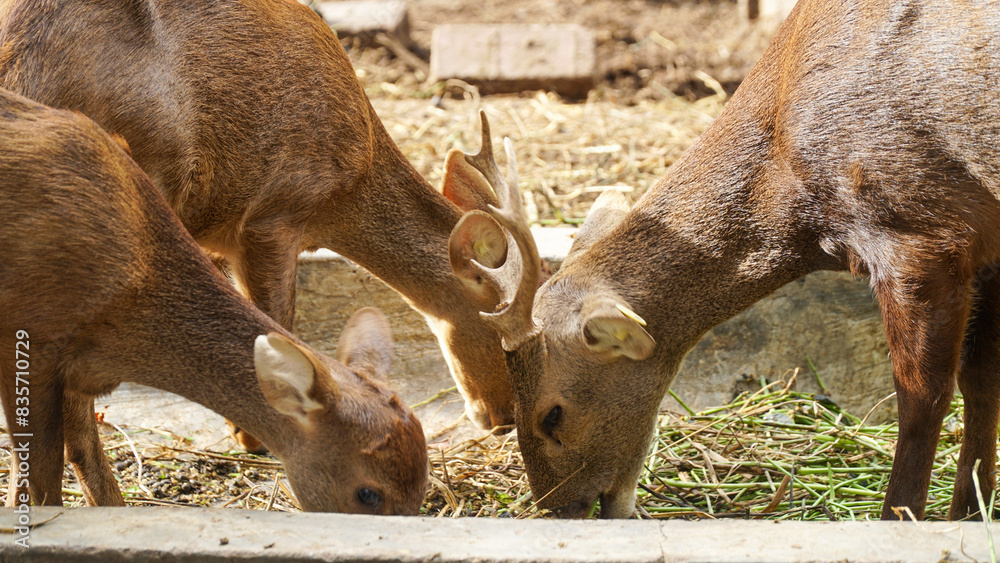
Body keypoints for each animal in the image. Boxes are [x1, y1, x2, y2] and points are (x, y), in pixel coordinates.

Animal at [0, 0, 515, 453]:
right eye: (501, 321)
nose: (503, 416)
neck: (347, 189)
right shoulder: (276, 211)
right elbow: (275, 322)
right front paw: (255, 438)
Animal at [449, 0, 1000, 520]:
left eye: (551, 415)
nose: (557, 508)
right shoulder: (985, 246)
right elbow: (980, 380)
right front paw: (970, 515)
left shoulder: (918, 231)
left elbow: (922, 400)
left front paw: (902, 516)